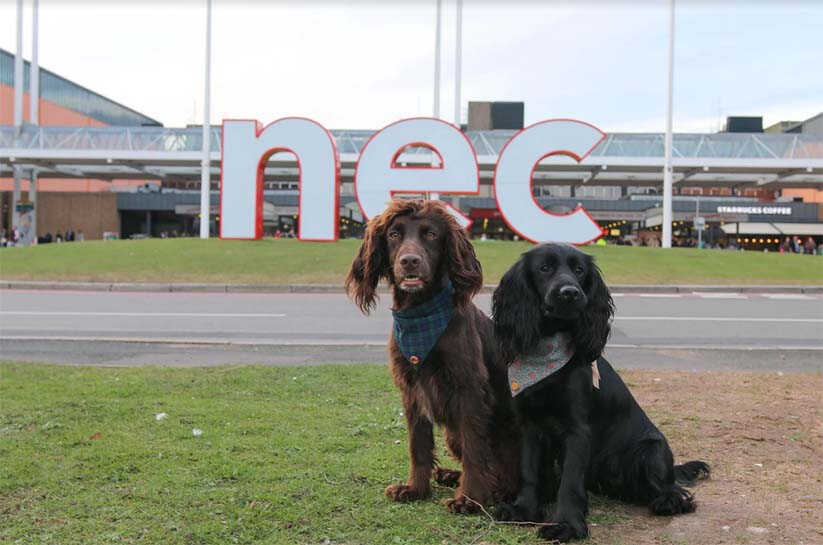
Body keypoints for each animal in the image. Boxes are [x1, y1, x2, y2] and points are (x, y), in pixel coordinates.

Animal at [344, 199, 520, 510]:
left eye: (431, 235)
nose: (409, 261)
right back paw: (450, 474)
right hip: (452, 434)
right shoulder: (412, 390)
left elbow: (475, 449)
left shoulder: (469, 389)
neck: (419, 314)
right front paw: (415, 489)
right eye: (394, 235)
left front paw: (469, 499)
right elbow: (419, 446)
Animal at [492, 244, 712, 540]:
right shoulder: (529, 426)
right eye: (544, 268)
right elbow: (529, 472)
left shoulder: (577, 430)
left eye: (579, 270)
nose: (571, 293)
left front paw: (567, 525)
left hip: (649, 451)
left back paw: (666, 502)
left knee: (675, 491)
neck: (548, 348)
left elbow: (570, 482)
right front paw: (523, 511)